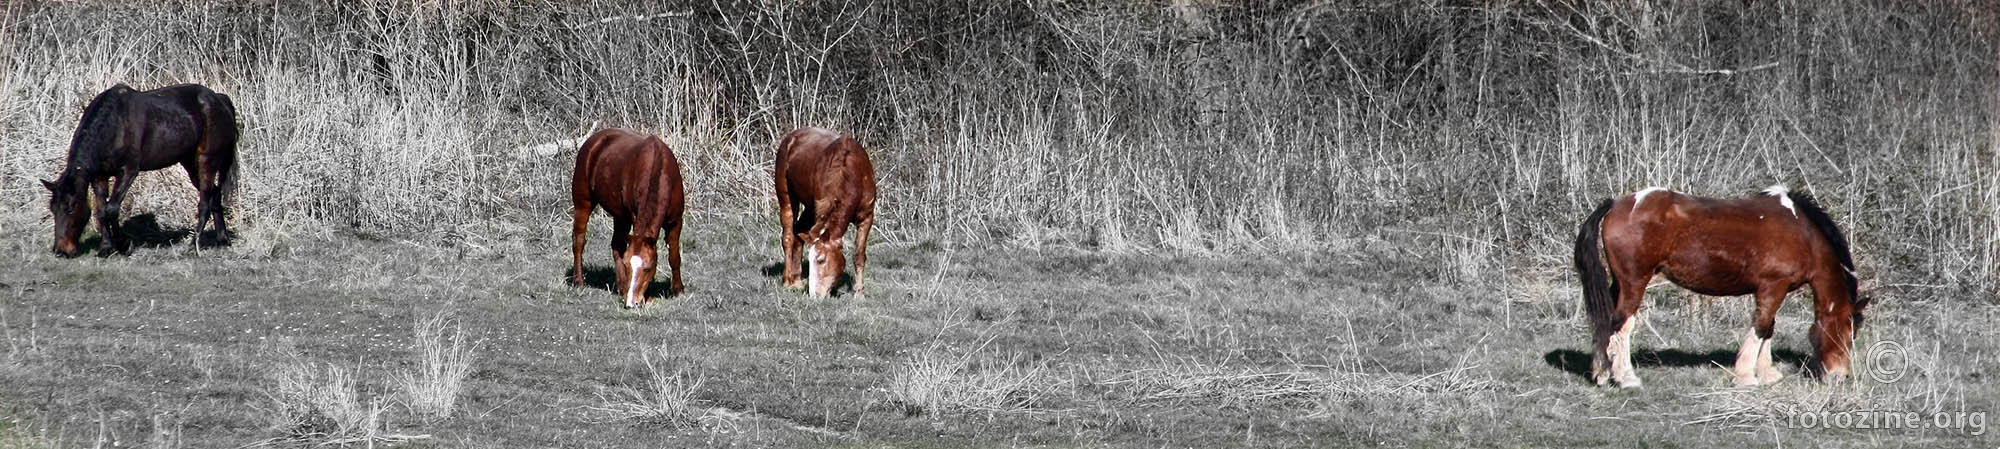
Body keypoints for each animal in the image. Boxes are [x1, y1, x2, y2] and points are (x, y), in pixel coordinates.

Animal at [43, 83, 240, 256]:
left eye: (71, 208)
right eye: (53, 209)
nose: (61, 251)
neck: (115, 125)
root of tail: (220, 100)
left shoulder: (128, 172)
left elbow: (111, 209)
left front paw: (124, 244)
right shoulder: (100, 176)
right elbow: (101, 211)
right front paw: (106, 247)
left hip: (206, 161)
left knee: (205, 203)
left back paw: (193, 246)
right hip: (190, 164)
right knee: (215, 195)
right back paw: (222, 239)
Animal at [568, 128, 684, 306]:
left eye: (648, 268)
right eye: (628, 266)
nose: (631, 302)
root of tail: (594, 140)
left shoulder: (676, 221)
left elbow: (674, 256)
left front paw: (678, 290)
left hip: (620, 216)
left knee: (617, 244)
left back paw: (621, 286)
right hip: (583, 204)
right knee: (579, 240)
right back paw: (579, 281)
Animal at [772, 126, 876, 298]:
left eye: (820, 260)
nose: (815, 295)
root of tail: (791, 137)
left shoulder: (867, 217)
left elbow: (859, 254)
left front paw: (859, 293)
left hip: (809, 207)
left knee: (798, 231)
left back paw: (797, 280)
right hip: (787, 198)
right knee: (787, 236)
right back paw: (788, 280)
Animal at [1568, 184, 1864, 386]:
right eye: (1848, 332)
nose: (1840, 376)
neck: (1801, 232)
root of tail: (1617, 203)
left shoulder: (1771, 291)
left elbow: (1769, 328)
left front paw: (1767, 374)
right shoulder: (1773, 287)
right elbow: (1761, 327)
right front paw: (1745, 376)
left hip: (1619, 283)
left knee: (1605, 323)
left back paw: (1602, 372)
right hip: (1634, 283)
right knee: (1621, 324)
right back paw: (1626, 378)